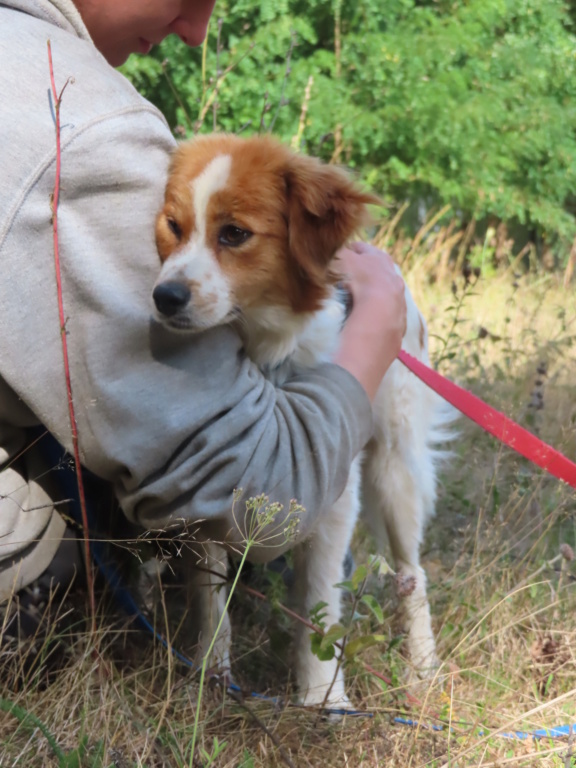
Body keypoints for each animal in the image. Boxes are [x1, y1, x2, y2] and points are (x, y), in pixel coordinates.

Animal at [150, 134, 454, 708]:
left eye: (235, 233)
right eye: (173, 227)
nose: (164, 297)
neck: (269, 350)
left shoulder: (335, 498)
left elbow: (319, 604)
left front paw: (322, 698)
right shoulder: (208, 490)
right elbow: (210, 600)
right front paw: (210, 674)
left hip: (393, 474)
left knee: (413, 574)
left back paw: (423, 667)